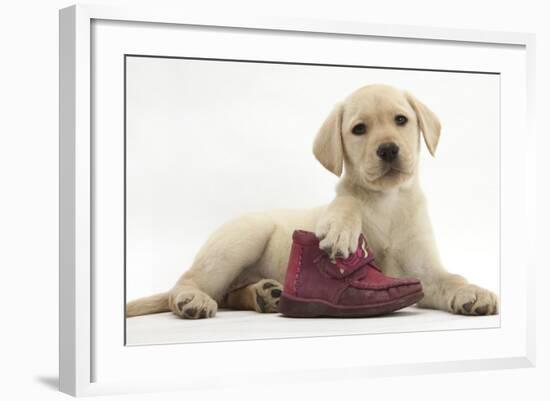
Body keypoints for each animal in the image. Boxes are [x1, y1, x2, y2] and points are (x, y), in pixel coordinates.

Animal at [128, 83, 500, 318]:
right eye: (359, 129)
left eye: (401, 120)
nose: (388, 149)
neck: (388, 201)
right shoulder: (346, 202)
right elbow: (346, 201)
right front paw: (342, 230)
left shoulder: (423, 271)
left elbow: (451, 278)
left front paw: (473, 291)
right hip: (240, 239)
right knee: (189, 282)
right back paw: (192, 299)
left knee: (229, 295)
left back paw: (266, 295)